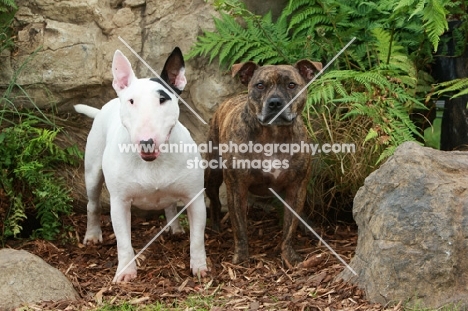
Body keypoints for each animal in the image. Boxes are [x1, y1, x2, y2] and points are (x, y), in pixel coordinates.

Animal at [74, 47, 207, 284]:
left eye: (163, 99)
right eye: (131, 101)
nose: (146, 141)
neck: (153, 163)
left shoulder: (195, 198)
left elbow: (198, 239)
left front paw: (199, 267)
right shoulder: (119, 202)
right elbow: (123, 242)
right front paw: (126, 272)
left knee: (170, 205)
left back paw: (174, 228)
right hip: (92, 173)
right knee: (93, 204)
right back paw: (92, 234)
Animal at [205, 60, 322, 266]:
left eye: (291, 85)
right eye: (260, 85)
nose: (275, 102)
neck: (273, 135)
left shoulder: (297, 187)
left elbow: (289, 227)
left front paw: (289, 255)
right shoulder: (236, 188)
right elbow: (240, 228)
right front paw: (241, 257)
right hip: (212, 175)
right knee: (215, 201)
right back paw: (216, 227)